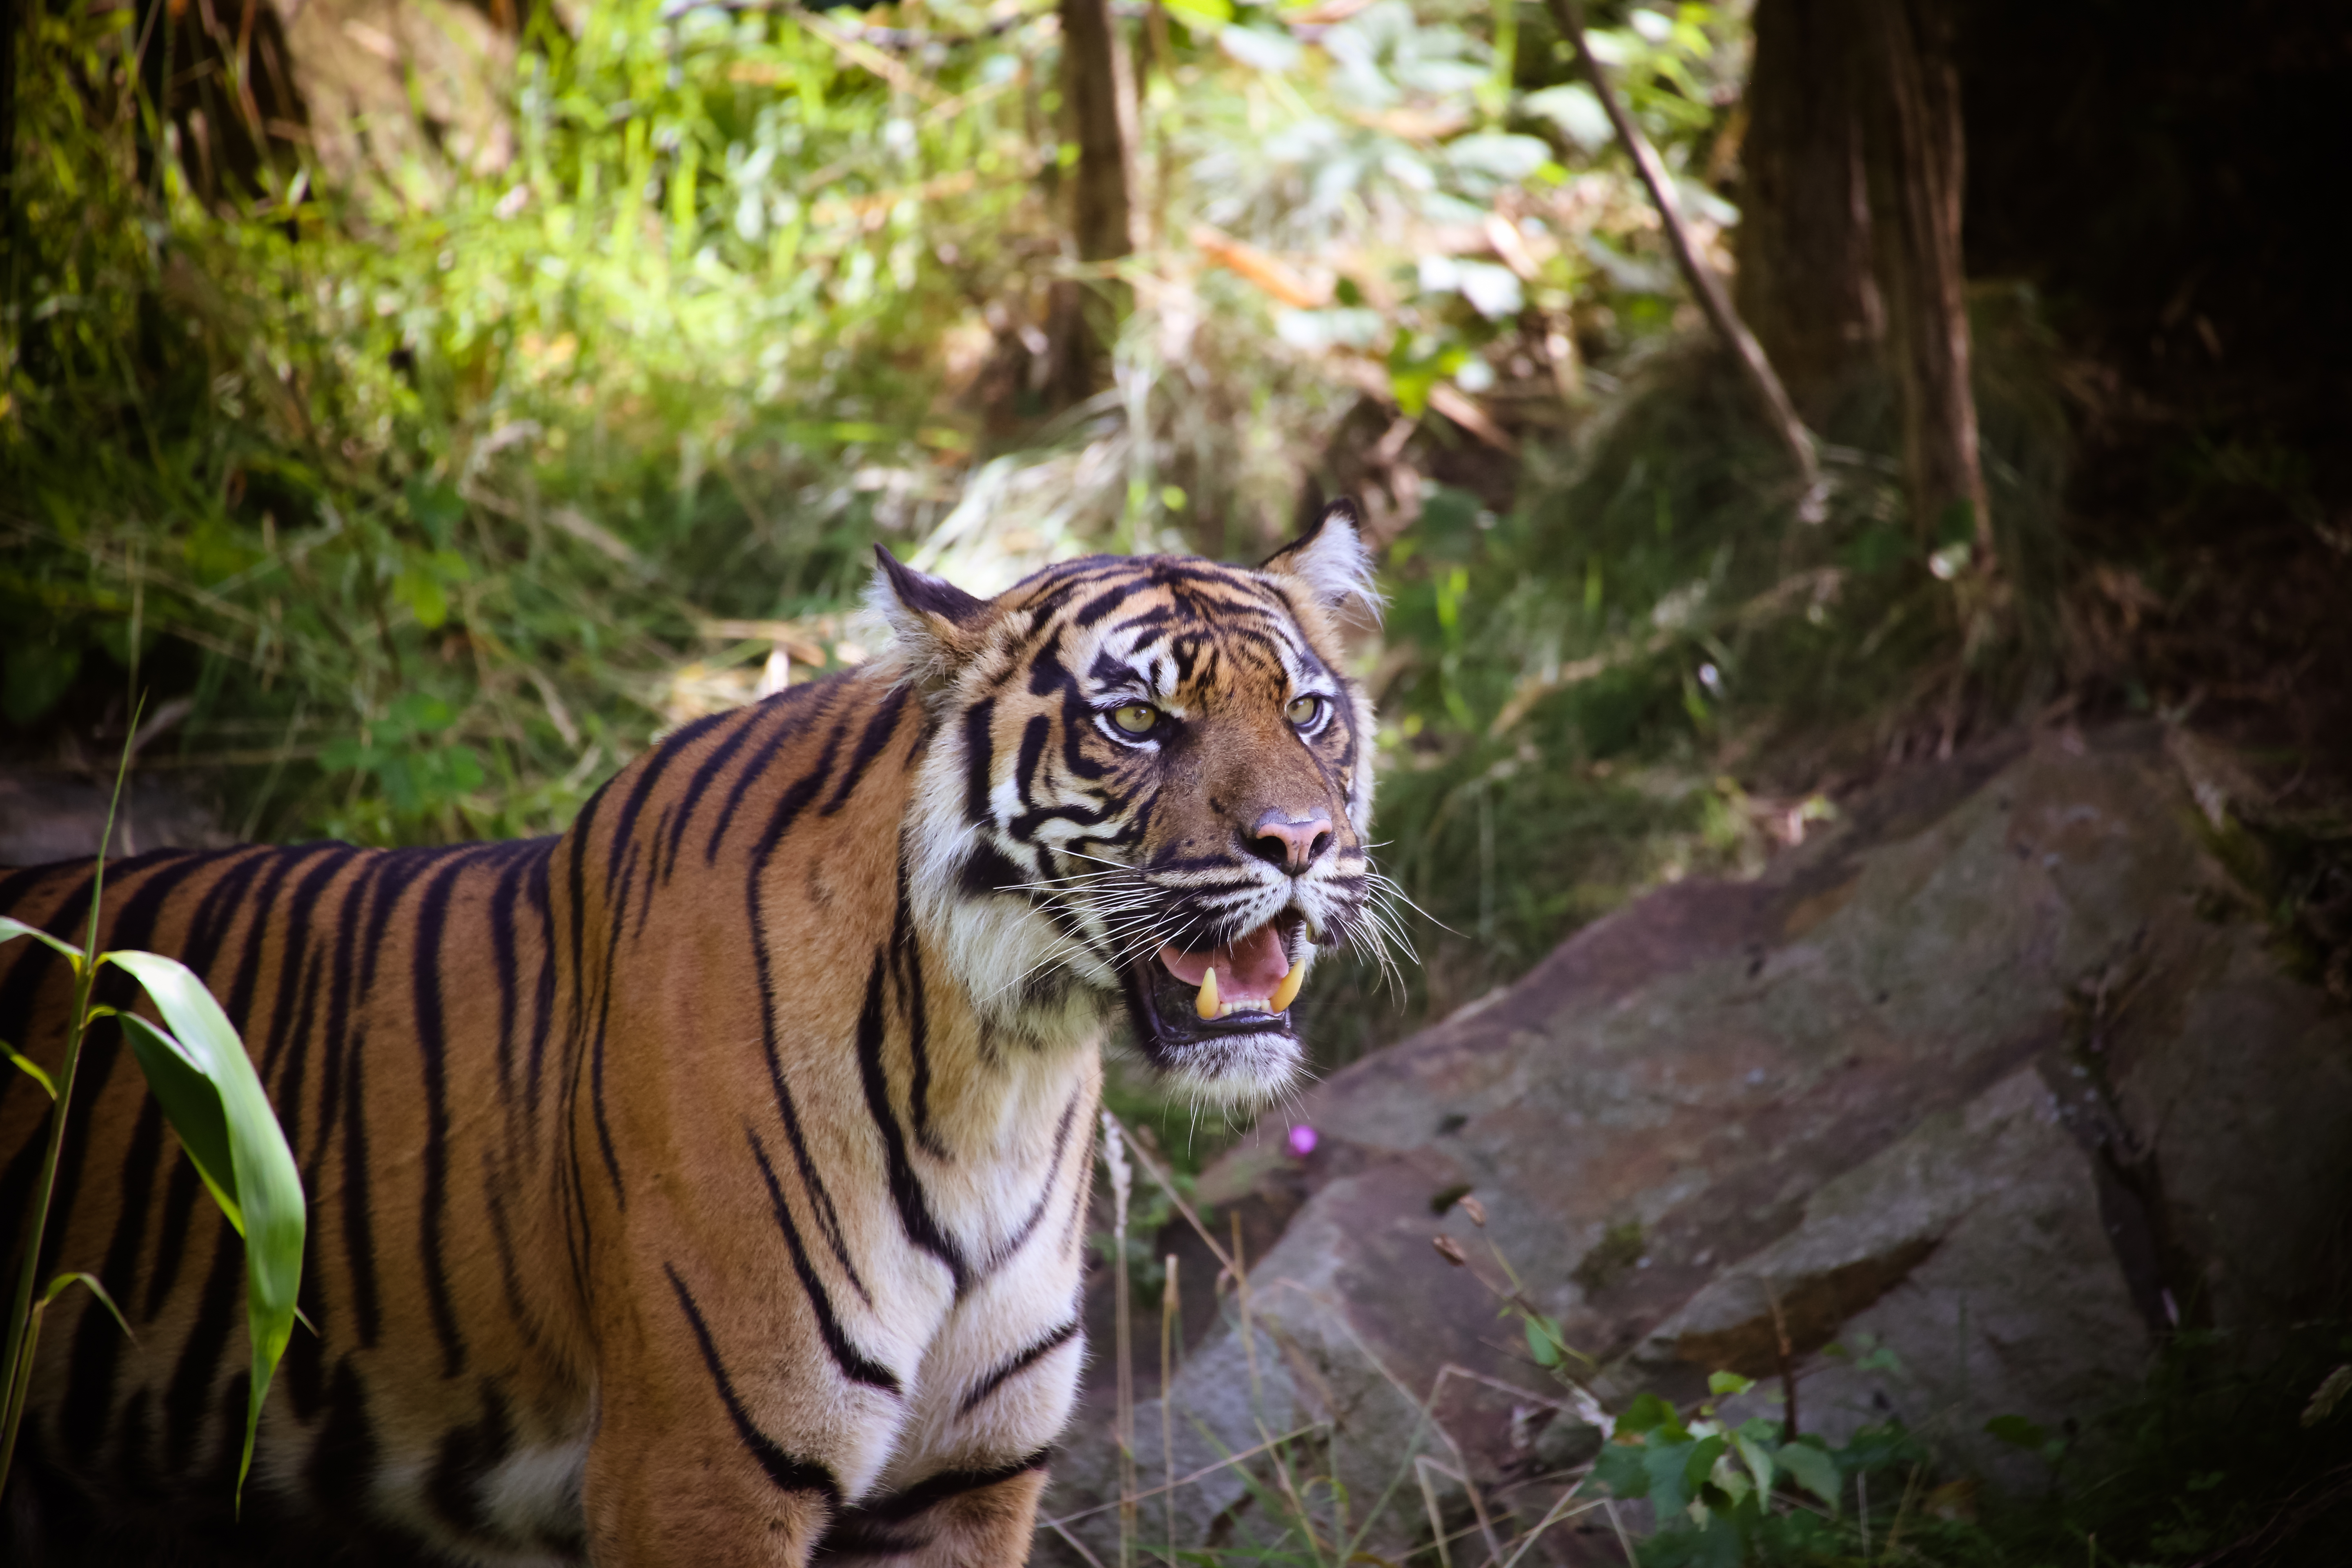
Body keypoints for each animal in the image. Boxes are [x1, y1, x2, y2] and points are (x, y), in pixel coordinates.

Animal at [0, 505, 1383, 1568]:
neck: (1004, 1068)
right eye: (1141, 723)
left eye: (1309, 712)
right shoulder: (700, 1470)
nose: (1302, 844)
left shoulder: (964, 1483)